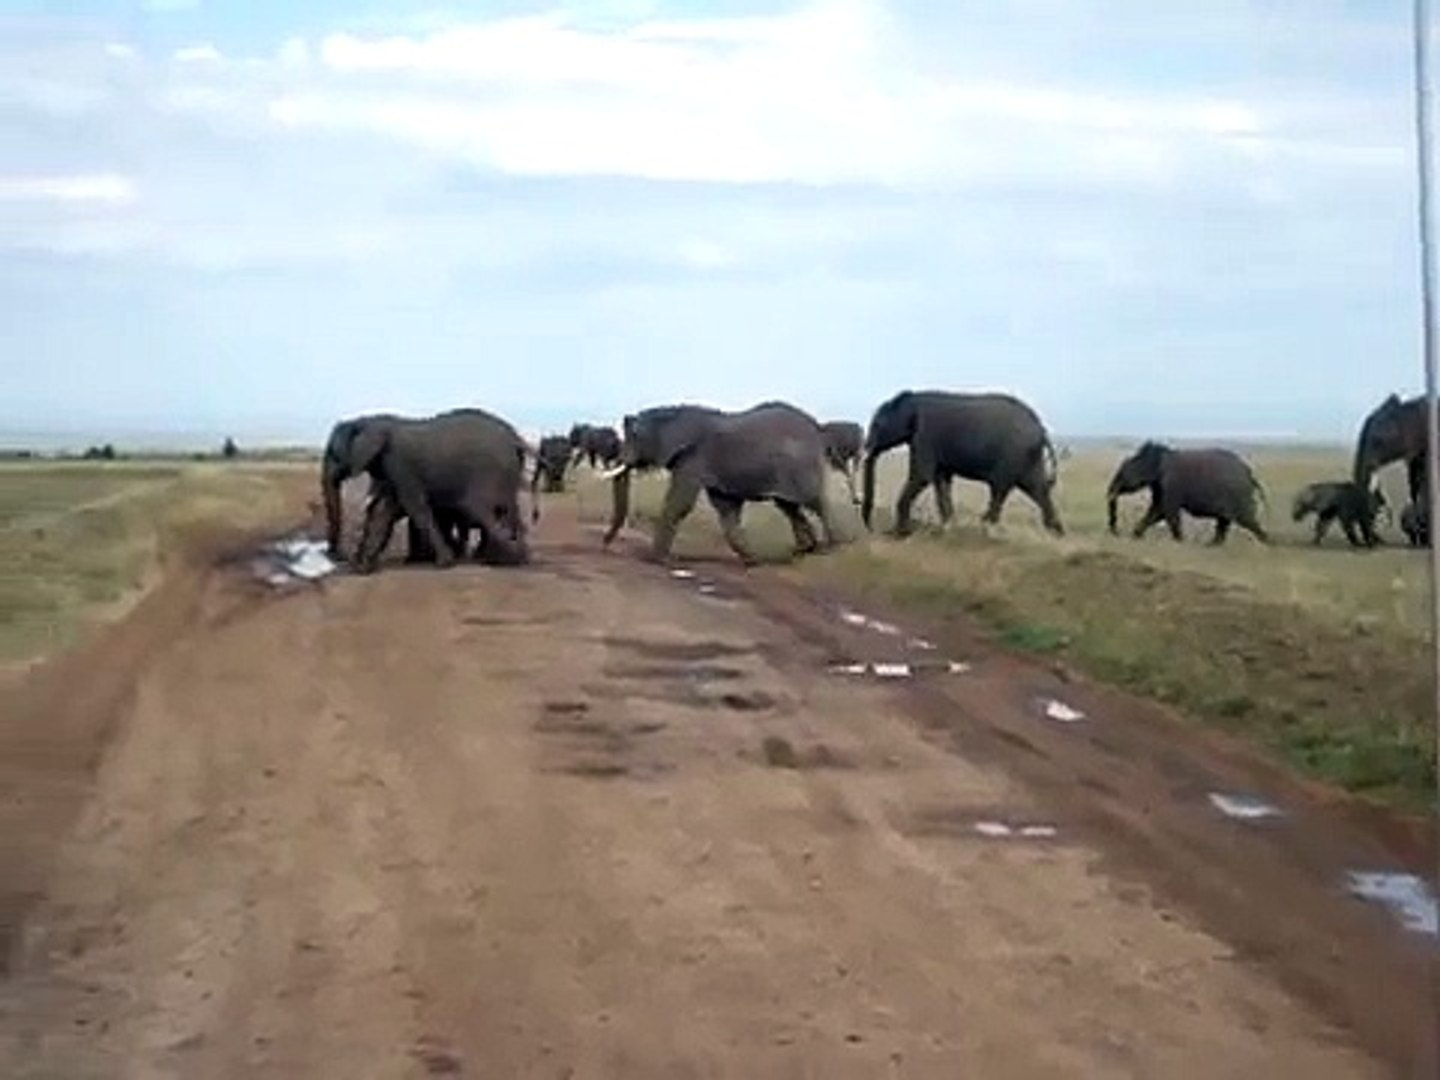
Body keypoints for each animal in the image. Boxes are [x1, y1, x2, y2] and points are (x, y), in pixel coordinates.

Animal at [320, 407, 532, 573]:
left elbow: (415, 507)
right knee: (508, 511)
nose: (337, 555)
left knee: (481, 510)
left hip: (487, 473)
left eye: (332, 453)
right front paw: (364, 569)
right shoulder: (391, 469)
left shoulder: (400, 465)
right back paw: (513, 558)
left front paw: (445, 563)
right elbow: (385, 511)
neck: (368, 421)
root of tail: (515, 438)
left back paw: (510, 560)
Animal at [598, 400, 842, 566]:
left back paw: (830, 548)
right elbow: (726, 510)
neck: (672, 413)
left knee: (814, 502)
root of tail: (819, 430)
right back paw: (802, 551)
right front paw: (753, 561)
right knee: (789, 507)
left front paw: (654, 559)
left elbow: (679, 502)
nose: (604, 545)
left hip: (800, 467)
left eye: (635, 437)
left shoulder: (693, 459)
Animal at [859, 390, 1064, 537]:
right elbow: (941, 480)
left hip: (1014, 453)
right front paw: (946, 527)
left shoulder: (925, 436)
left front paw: (899, 533)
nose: (872, 530)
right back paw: (1056, 532)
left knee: (1001, 488)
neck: (911, 400)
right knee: (1037, 487)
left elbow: (922, 476)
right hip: (1028, 456)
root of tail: (1041, 428)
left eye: (877, 425)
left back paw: (985, 525)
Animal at [1106, 441, 1269, 545]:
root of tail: (1249, 474)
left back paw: (1270, 544)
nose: (1115, 531)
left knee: (1248, 520)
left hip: (1238, 495)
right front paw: (1135, 537)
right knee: (1225, 521)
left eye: (1122, 474)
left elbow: (1167, 512)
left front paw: (1180, 542)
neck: (1161, 455)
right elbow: (1158, 511)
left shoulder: (1172, 485)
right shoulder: (1160, 486)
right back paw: (1211, 546)